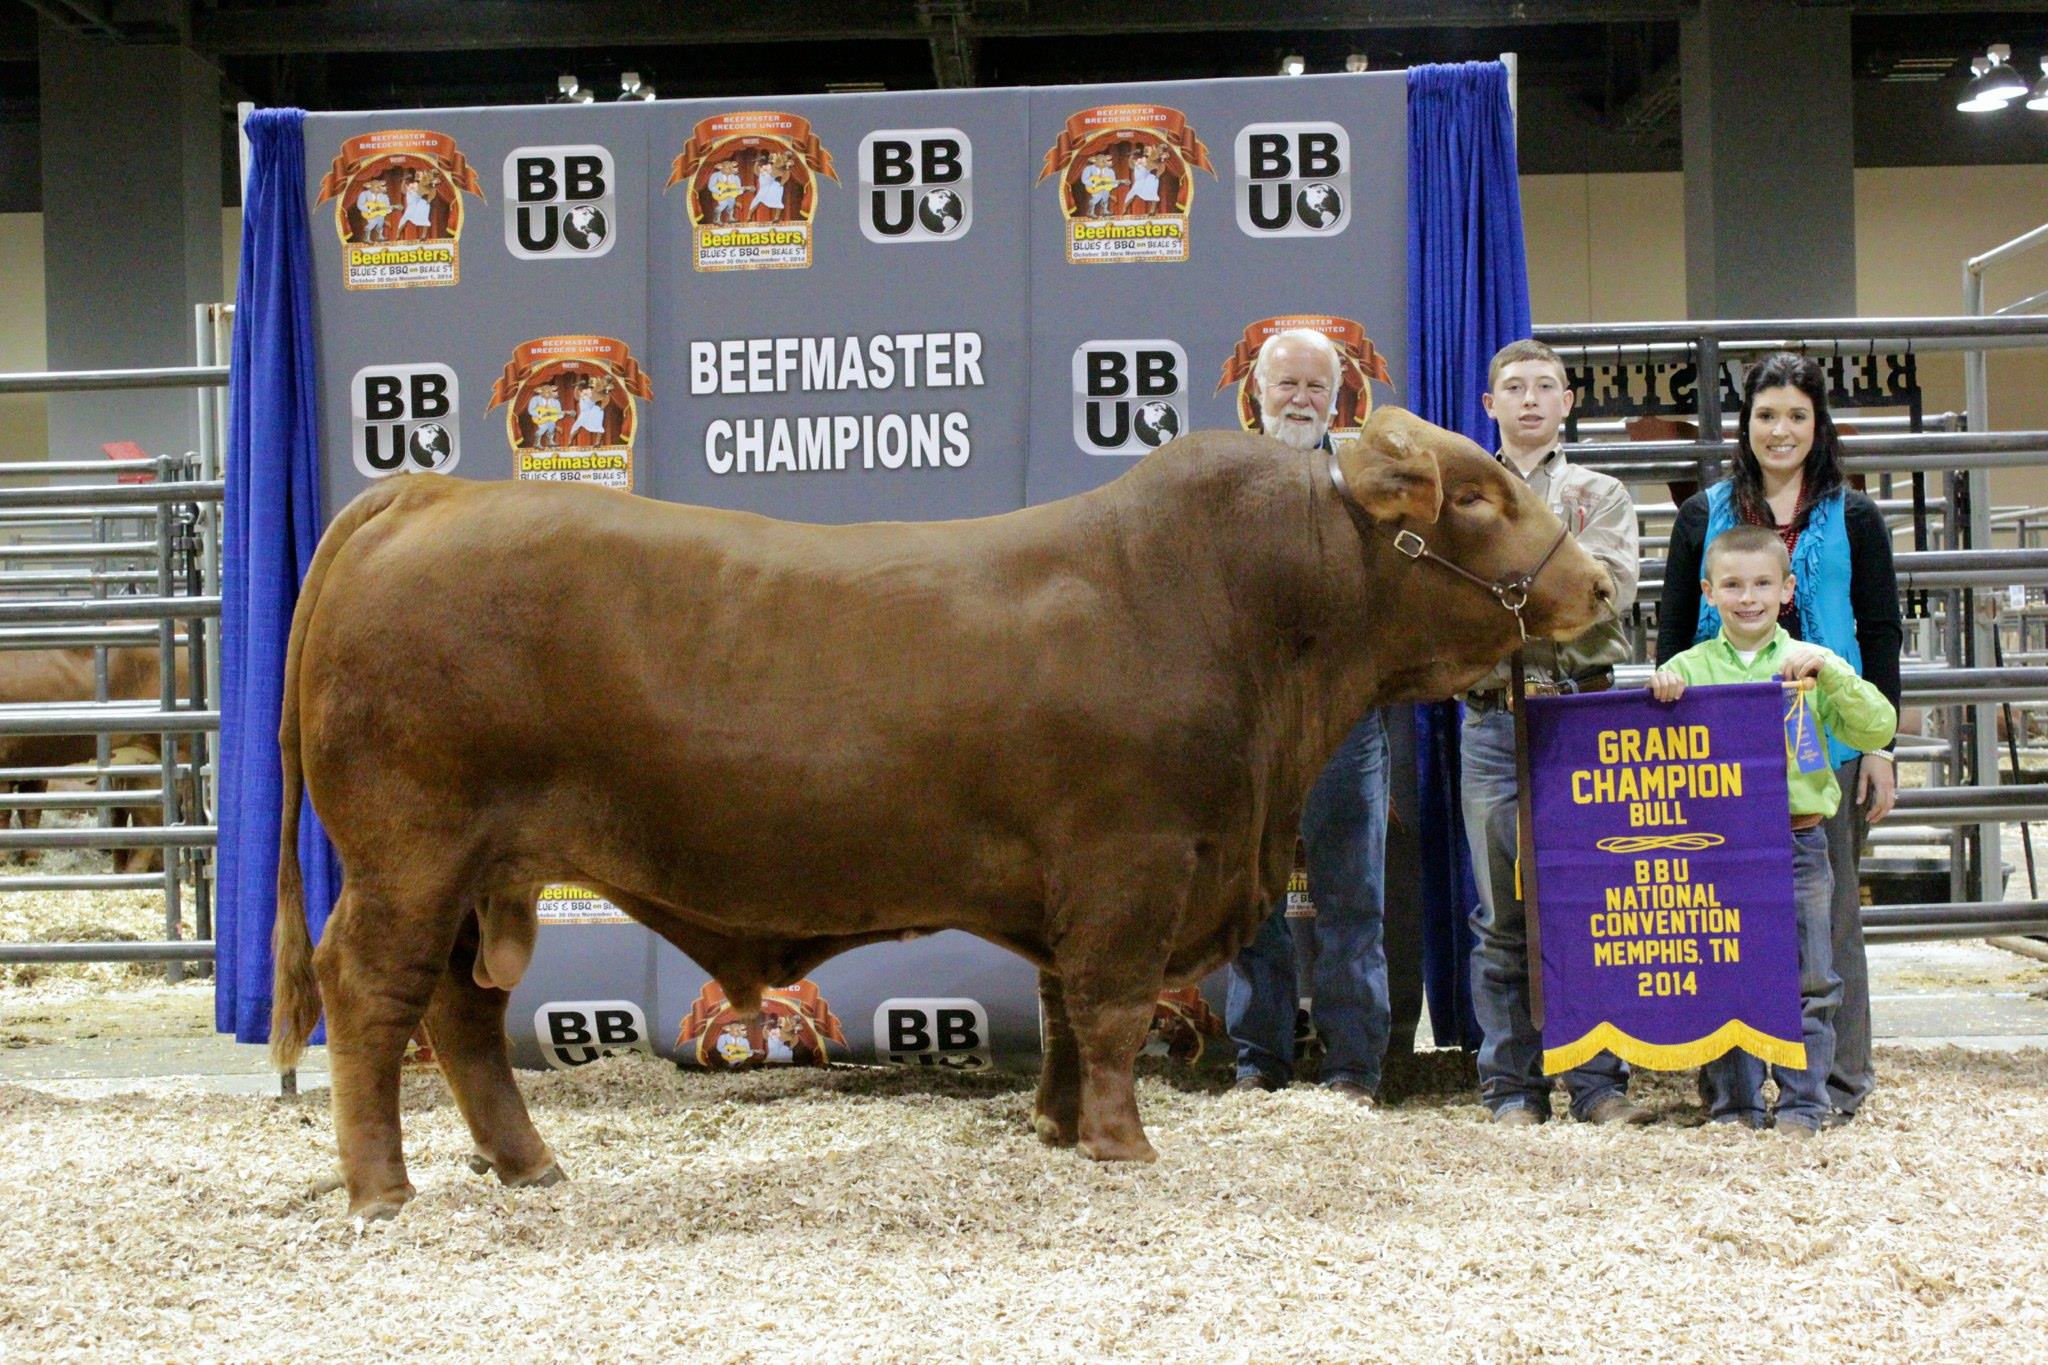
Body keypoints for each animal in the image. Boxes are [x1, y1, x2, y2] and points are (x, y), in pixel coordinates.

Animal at [270, 408, 1614, 1220]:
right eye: (1477, 493)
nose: (1600, 583)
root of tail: (428, 494)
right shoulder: (1130, 863)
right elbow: (1112, 1010)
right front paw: (1123, 1149)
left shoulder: (1076, 881)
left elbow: (1065, 1012)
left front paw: (1059, 1130)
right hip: (408, 854)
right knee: (370, 994)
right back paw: (381, 1190)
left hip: (476, 870)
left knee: (460, 1012)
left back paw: (530, 1166)